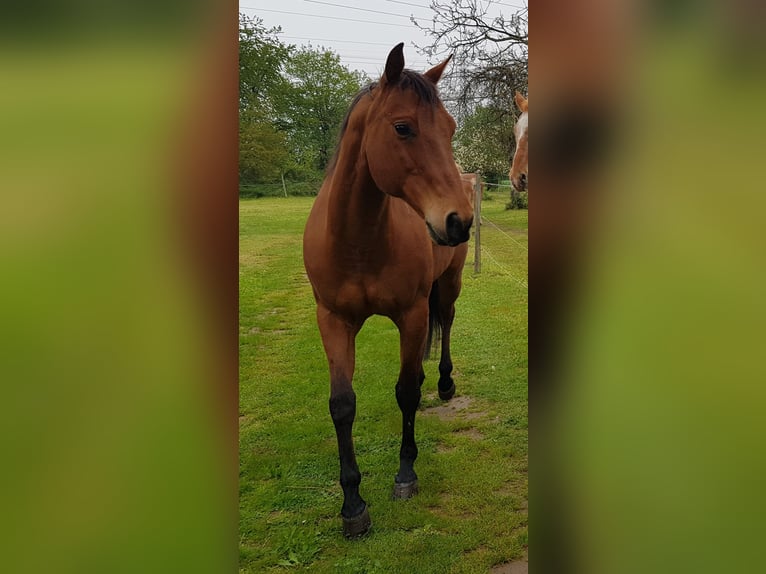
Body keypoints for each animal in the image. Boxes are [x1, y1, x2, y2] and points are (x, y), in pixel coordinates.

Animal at [304, 44, 474, 540]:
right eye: (403, 127)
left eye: (451, 129)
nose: (458, 220)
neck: (359, 241)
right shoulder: (333, 320)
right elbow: (342, 405)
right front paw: (352, 505)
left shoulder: (411, 314)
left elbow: (406, 392)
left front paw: (405, 474)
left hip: (447, 287)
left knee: (445, 327)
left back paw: (445, 381)